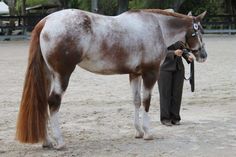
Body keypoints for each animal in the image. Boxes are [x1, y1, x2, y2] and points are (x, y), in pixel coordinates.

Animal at [16, 8, 206, 150]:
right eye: (198, 32)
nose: (203, 55)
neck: (156, 26)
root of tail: (47, 20)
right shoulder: (150, 73)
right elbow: (146, 101)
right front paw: (148, 133)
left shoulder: (135, 74)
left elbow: (136, 101)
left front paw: (138, 132)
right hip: (62, 75)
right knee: (53, 102)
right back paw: (60, 142)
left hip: (48, 74)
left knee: (42, 102)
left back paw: (47, 141)